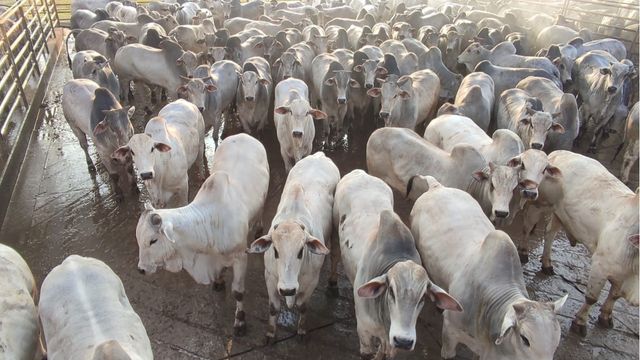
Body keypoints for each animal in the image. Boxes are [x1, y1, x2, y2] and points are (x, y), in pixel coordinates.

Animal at [135, 133, 268, 334]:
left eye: (153, 240)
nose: (141, 269)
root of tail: (243, 135)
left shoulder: (240, 257)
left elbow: (238, 292)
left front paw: (240, 322)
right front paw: (219, 282)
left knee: (260, 213)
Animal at [249, 153, 342, 342]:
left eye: (301, 251)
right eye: (275, 251)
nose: (288, 289)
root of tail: (319, 155)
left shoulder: (311, 281)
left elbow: (302, 306)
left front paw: (301, 330)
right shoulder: (270, 278)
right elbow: (274, 308)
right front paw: (270, 334)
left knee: (335, 255)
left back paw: (333, 283)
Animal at [336, 172, 460, 360]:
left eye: (423, 297)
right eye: (391, 291)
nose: (403, 340)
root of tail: (359, 173)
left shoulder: (390, 343)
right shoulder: (364, 333)